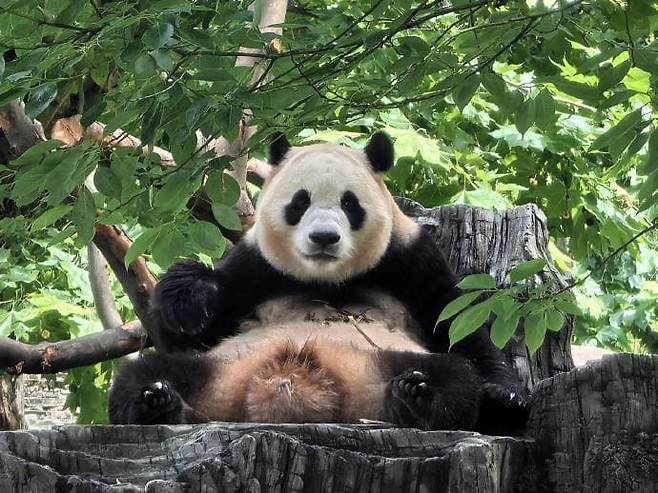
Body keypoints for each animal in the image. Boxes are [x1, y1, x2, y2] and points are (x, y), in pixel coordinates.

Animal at [109, 132, 527, 433]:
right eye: (300, 202)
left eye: (349, 203)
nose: (324, 237)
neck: (327, 280)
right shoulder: (255, 266)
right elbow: (187, 329)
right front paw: (190, 301)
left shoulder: (410, 258)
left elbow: (455, 323)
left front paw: (505, 395)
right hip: (220, 366)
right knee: (145, 373)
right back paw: (158, 402)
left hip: (385, 360)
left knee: (454, 376)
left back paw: (414, 396)